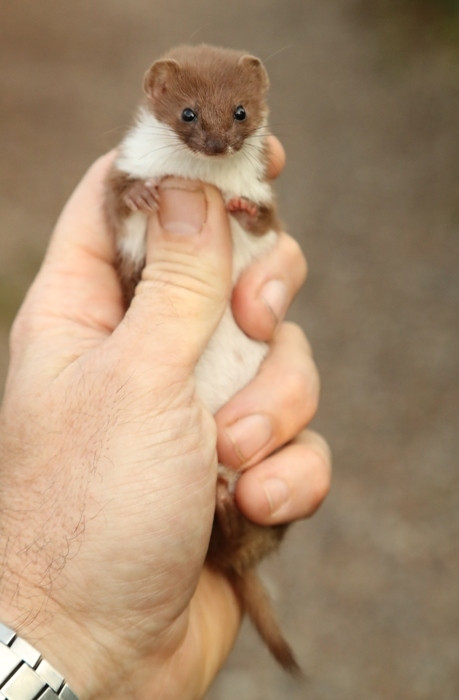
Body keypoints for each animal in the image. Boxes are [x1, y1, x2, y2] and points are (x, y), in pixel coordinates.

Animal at [105, 43, 302, 672]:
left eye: (240, 111)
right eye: (188, 113)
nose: (217, 142)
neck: (205, 180)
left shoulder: (270, 202)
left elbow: (264, 221)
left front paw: (237, 208)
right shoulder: (119, 173)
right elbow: (119, 201)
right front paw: (144, 196)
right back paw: (216, 497)